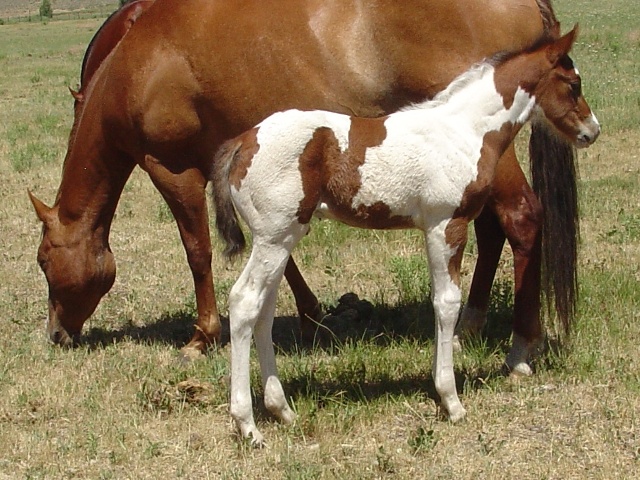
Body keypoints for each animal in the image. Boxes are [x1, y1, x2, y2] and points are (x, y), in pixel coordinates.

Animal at [29, 0, 577, 371]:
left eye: (43, 262)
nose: (55, 334)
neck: (141, 62)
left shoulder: (172, 169)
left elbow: (197, 251)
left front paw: (202, 336)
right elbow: (278, 251)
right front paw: (313, 316)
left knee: (522, 219)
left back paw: (521, 346)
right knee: (493, 230)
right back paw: (471, 325)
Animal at [210, 26, 599, 445]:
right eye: (573, 84)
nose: (592, 131)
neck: (464, 131)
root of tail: (243, 141)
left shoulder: (435, 228)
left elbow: (441, 301)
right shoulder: (446, 225)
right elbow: (447, 303)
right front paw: (451, 400)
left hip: (282, 239)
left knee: (262, 311)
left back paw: (281, 410)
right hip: (275, 236)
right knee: (244, 303)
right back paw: (247, 424)